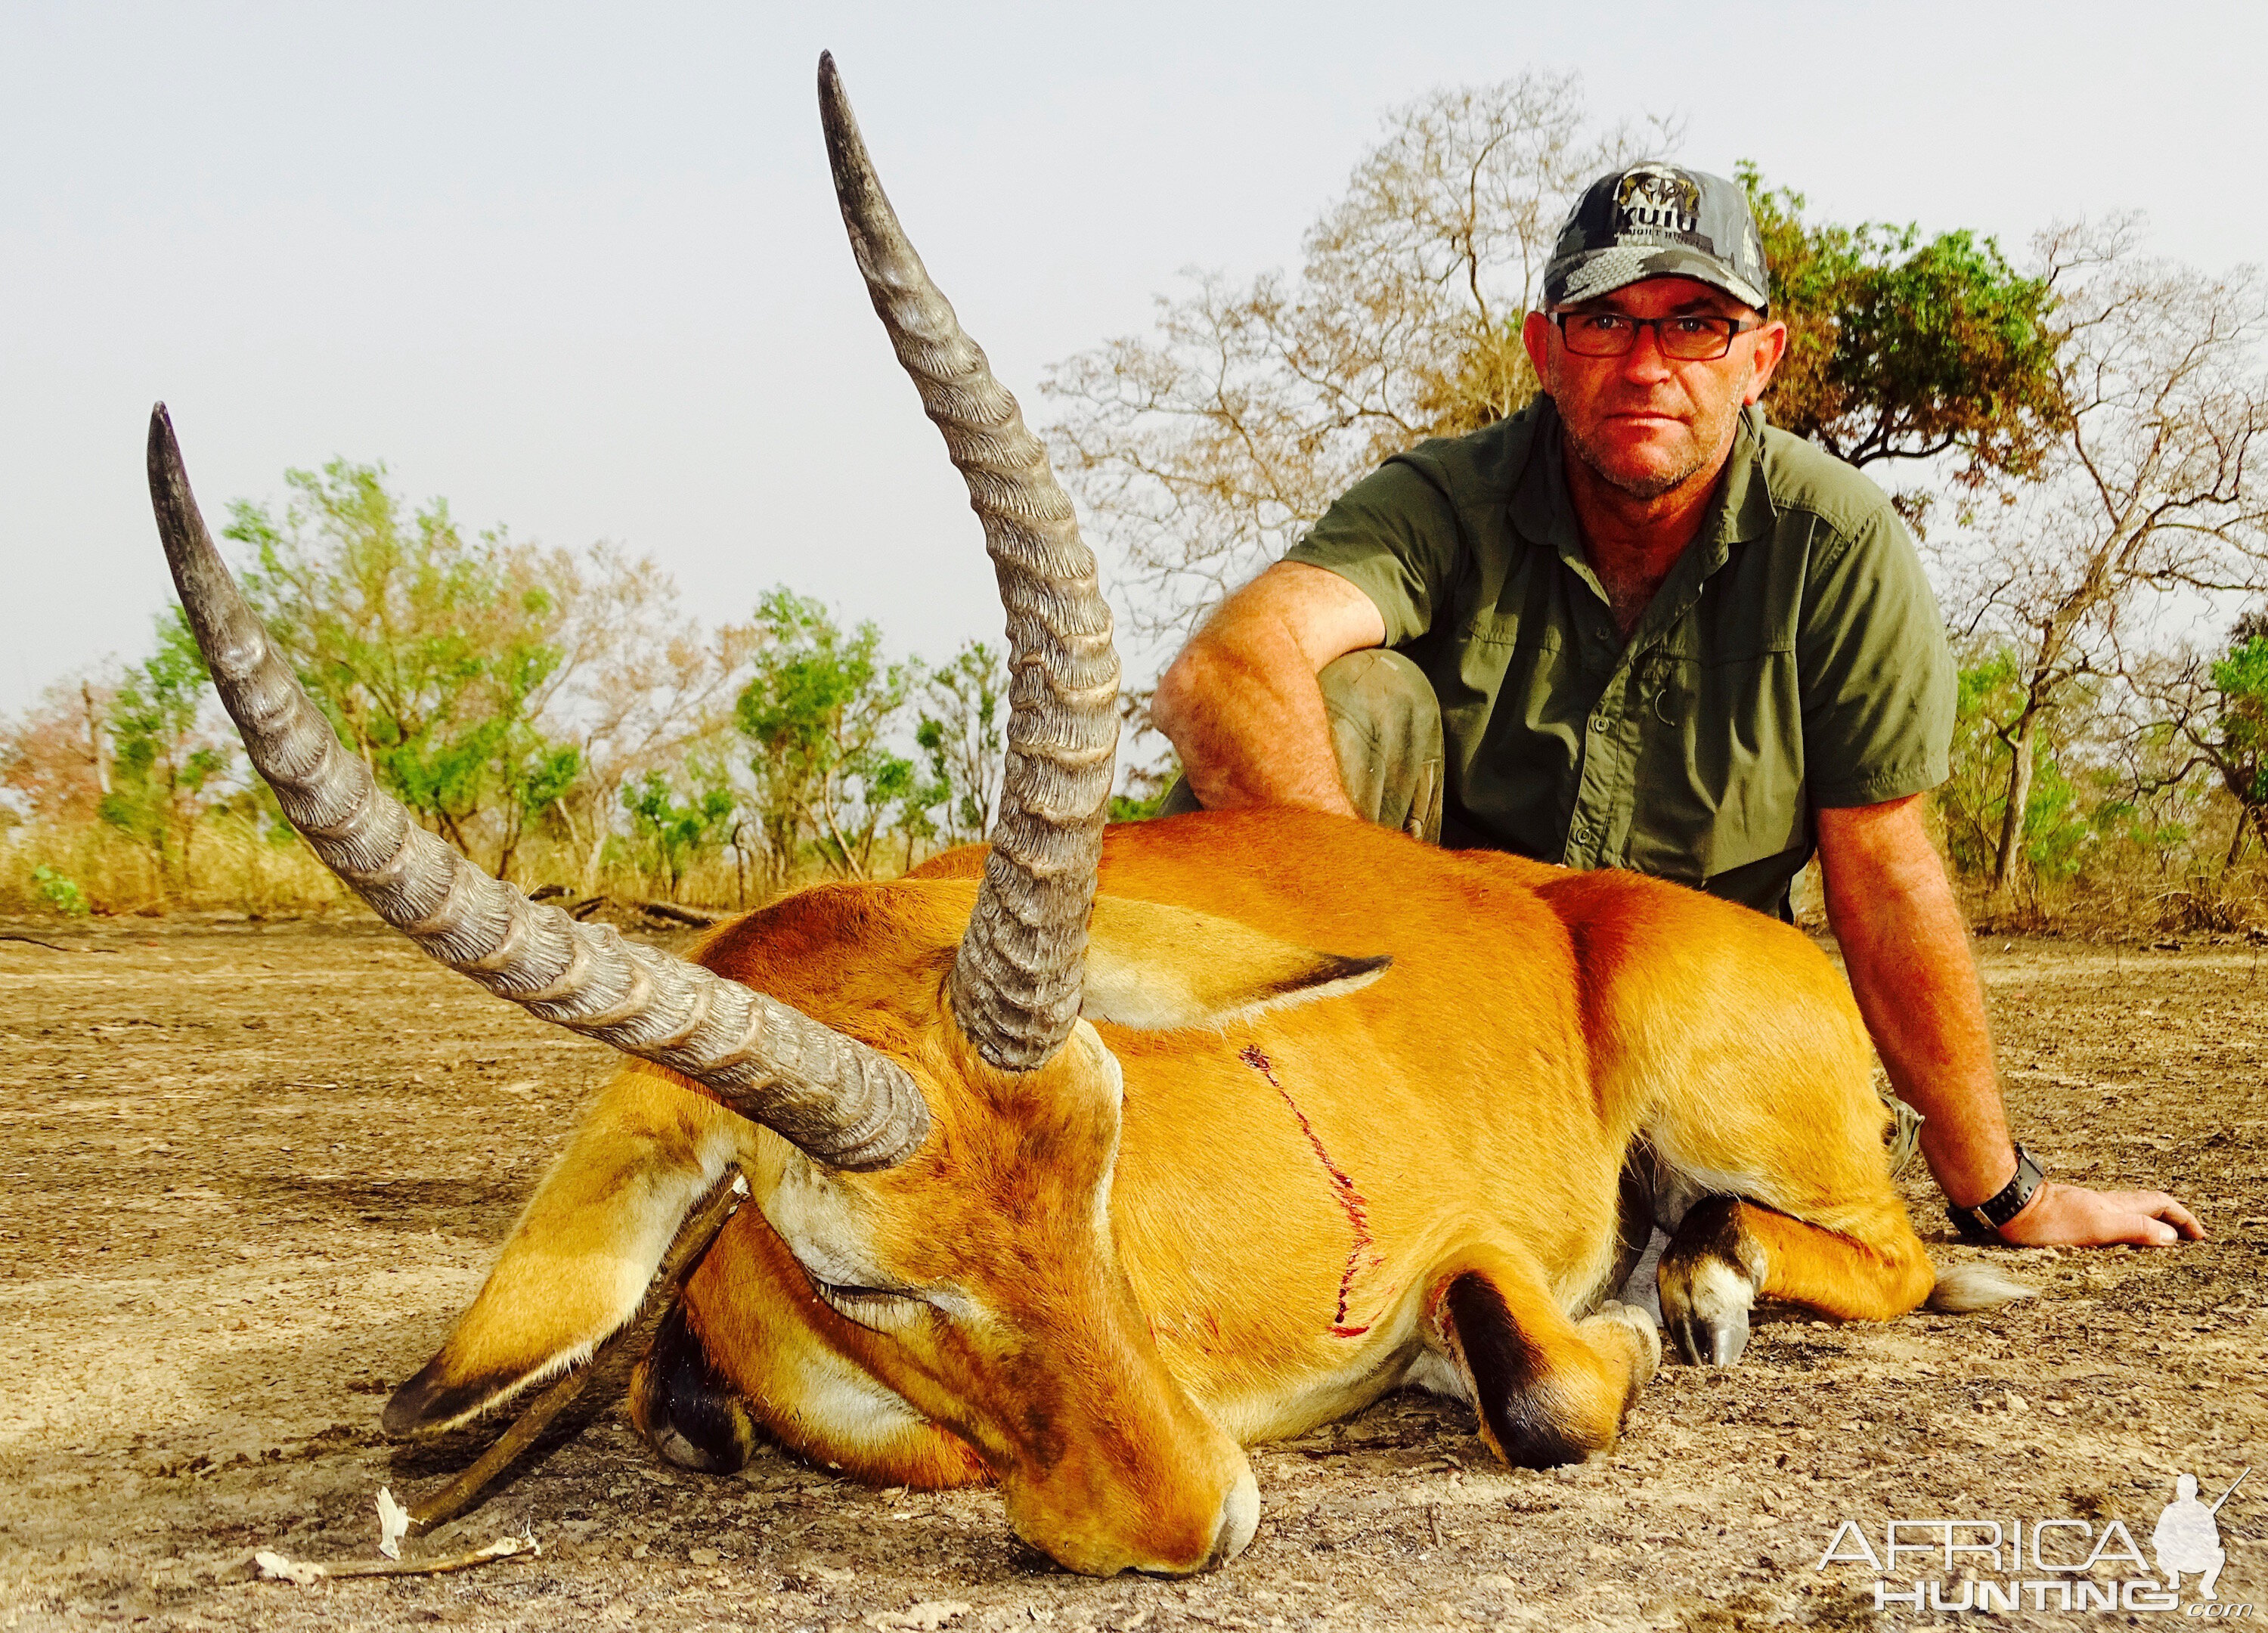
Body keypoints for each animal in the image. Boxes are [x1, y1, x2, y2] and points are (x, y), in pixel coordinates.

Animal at [155, 54, 2041, 1579]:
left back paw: (1720, 1283)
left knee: (1894, 1253)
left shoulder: (1467, 1257)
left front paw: (1624, 1334)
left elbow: (1540, 1379)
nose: (1190, 1522)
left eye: (1104, 1141)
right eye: (857, 1274)